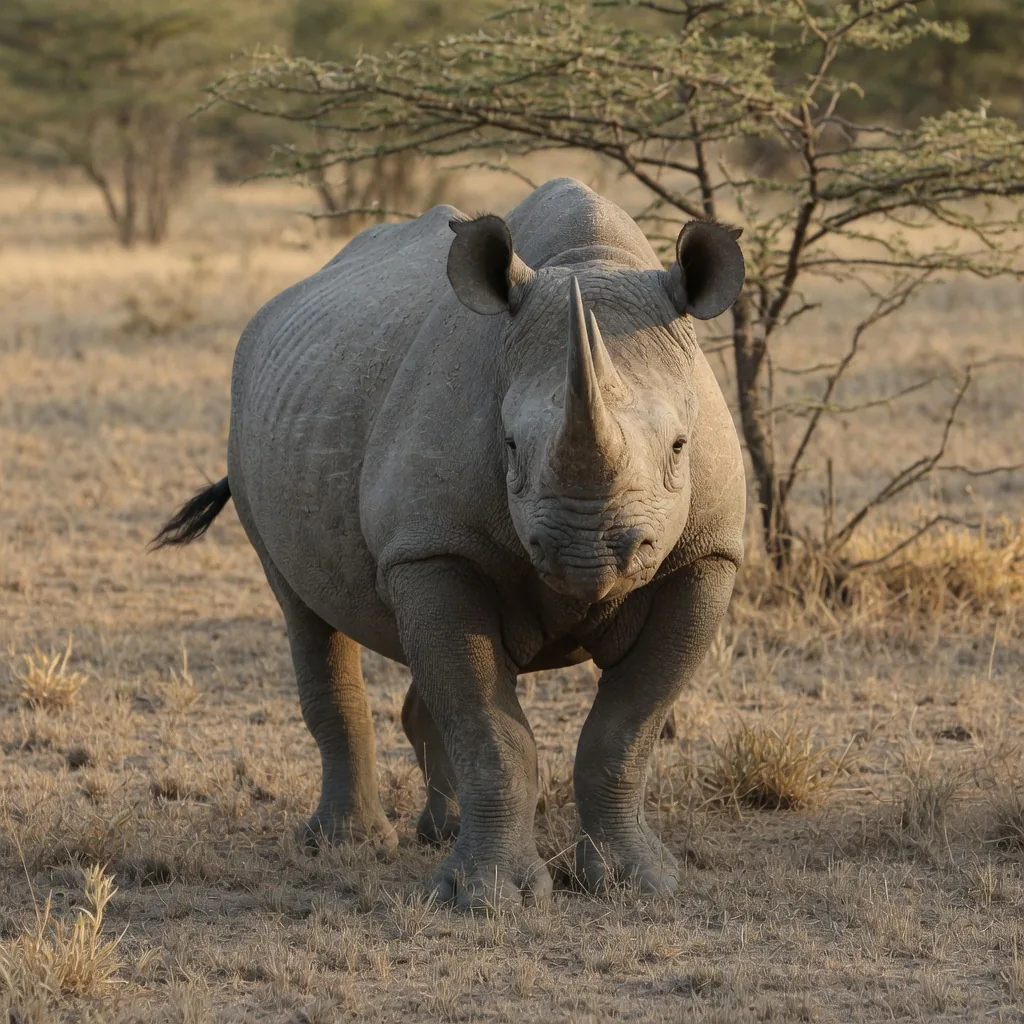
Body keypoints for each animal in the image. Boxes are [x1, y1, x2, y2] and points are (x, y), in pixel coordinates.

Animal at [154, 177, 746, 908]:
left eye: (680, 448)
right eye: (511, 447)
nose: (590, 553)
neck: (593, 263)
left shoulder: (705, 555)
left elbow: (625, 730)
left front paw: (637, 883)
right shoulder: (434, 548)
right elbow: (490, 729)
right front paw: (485, 899)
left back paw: (438, 831)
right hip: (251, 431)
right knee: (305, 612)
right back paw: (348, 844)